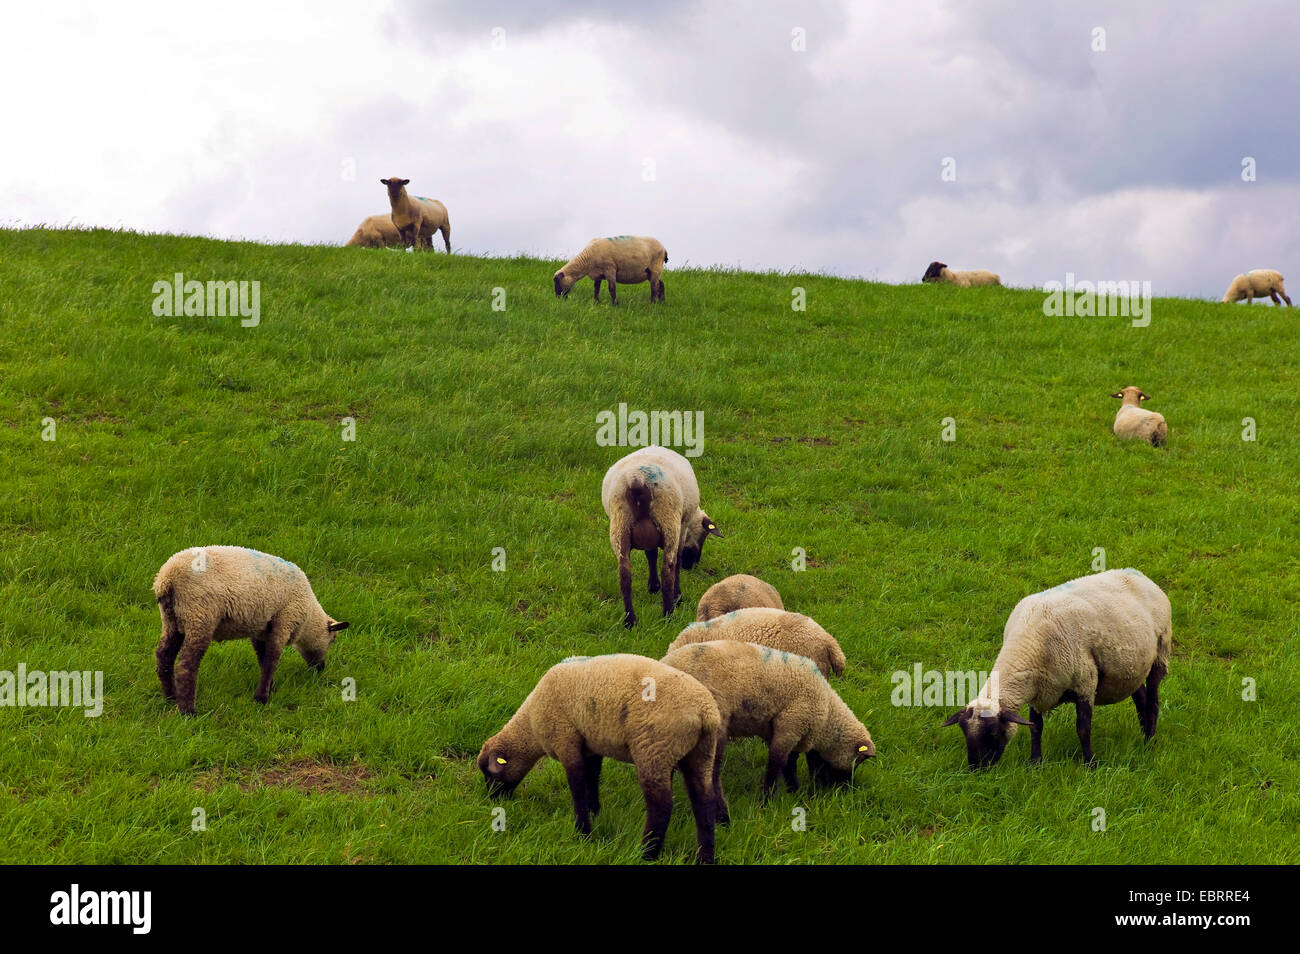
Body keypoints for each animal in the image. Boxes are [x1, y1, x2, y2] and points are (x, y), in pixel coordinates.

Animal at [153, 546, 348, 715]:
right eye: (333, 639)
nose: (320, 668)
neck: (308, 616)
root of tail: (166, 578)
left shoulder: (262, 629)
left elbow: (263, 658)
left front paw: (270, 688)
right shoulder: (285, 620)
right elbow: (271, 660)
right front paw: (261, 698)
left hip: (172, 620)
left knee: (164, 656)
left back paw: (171, 697)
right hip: (199, 616)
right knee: (186, 665)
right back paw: (188, 711)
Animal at [476, 653, 721, 864]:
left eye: (490, 774)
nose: (493, 799)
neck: (530, 726)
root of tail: (705, 713)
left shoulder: (565, 738)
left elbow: (577, 785)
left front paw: (583, 831)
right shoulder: (590, 743)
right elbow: (592, 778)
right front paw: (595, 811)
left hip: (654, 750)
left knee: (661, 805)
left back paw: (647, 853)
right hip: (701, 753)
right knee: (704, 802)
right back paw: (704, 857)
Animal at [602, 445, 721, 628]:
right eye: (704, 536)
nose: (691, 565)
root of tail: (636, 479)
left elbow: (650, 554)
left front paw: (653, 586)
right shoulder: (682, 526)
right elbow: (677, 559)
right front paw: (677, 596)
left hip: (620, 523)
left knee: (624, 574)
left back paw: (630, 621)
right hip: (668, 519)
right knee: (668, 569)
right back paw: (668, 615)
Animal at [661, 640, 874, 822]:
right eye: (858, 761)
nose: (843, 791)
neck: (827, 715)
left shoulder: (784, 730)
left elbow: (789, 763)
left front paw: (795, 792)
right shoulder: (791, 724)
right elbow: (777, 763)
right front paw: (768, 800)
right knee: (711, 774)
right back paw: (723, 817)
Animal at [940, 568, 1171, 769]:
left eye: (993, 734)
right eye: (965, 734)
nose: (977, 770)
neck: (1028, 643)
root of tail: (1140, 575)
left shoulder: (1085, 682)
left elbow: (1083, 729)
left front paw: (1091, 764)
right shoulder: (1038, 689)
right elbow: (1036, 728)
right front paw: (1035, 763)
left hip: (1160, 653)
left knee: (1152, 701)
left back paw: (1150, 741)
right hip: (1128, 669)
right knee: (1140, 696)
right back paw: (1143, 734)